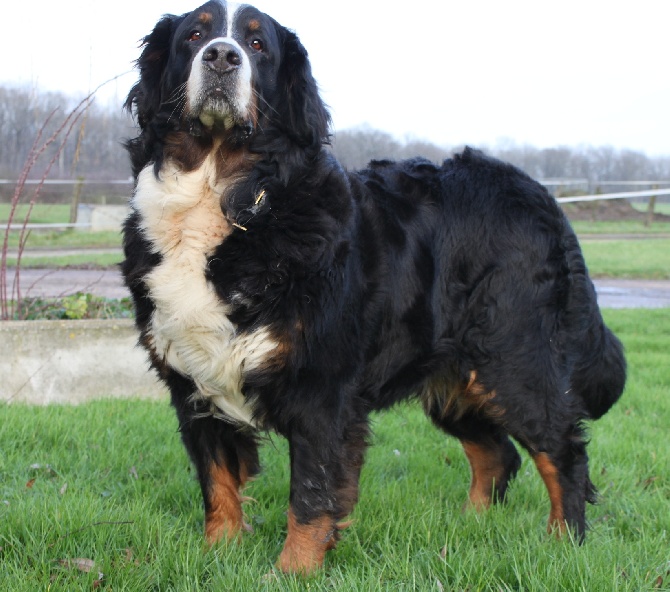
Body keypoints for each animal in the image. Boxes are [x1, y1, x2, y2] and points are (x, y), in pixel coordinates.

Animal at [122, 0, 632, 572]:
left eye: (256, 45)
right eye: (195, 35)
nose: (222, 57)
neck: (229, 196)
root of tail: (539, 194)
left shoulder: (322, 389)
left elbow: (312, 494)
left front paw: (293, 571)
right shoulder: (193, 381)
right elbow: (217, 483)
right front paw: (218, 556)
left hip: (513, 358)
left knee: (562, 450)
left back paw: (564, 541)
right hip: (453, 378)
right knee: (496, 453)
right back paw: (470, 528)